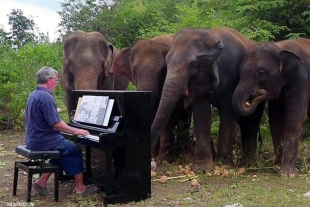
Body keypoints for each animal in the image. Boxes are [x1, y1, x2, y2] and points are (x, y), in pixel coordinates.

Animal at [151, 26, 266, 171]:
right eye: (167, 61)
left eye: (194, 64)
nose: (153, 162)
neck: (212, 37)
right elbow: (201, 112)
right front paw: (203, 169)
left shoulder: (232, 77)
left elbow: (229, 112)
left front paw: (223, 164)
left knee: (252, 121)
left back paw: (249, 163)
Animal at [230, 38, 310, 176]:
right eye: (239, 71)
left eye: (261, 72)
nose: (259, 93)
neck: (280, 47)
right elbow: (276, 120)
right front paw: (277, 168)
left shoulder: (301, 79)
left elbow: (294, 119)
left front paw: (288, 174)